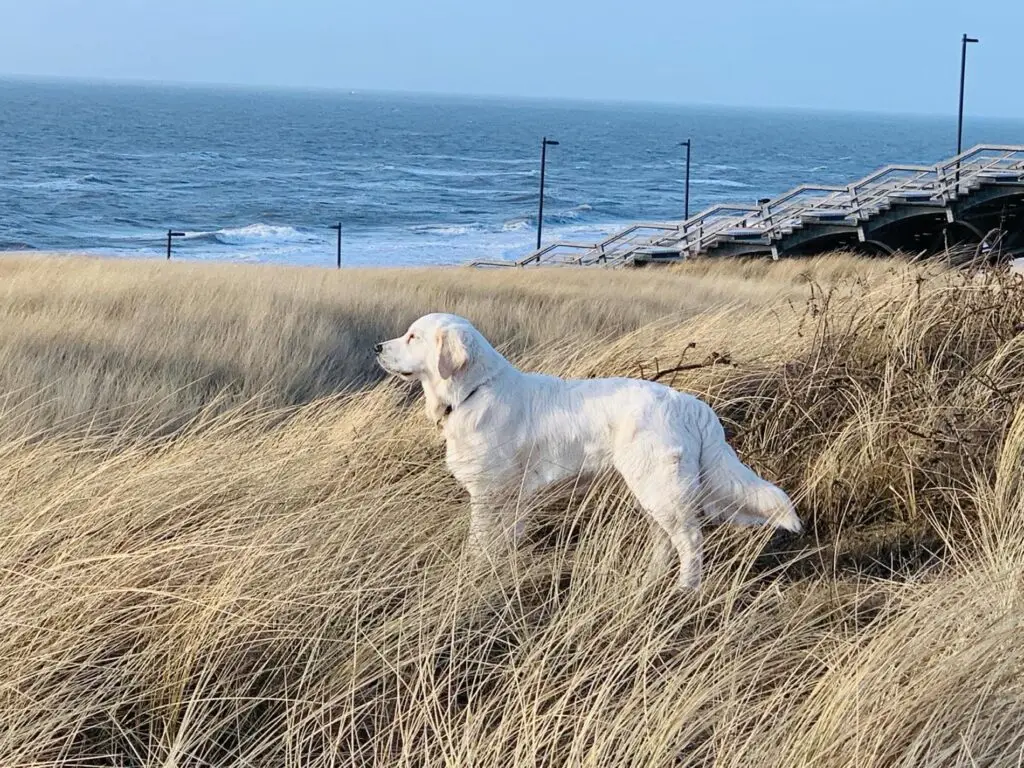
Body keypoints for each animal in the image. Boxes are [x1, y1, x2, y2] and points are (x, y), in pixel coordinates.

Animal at [374, 313, 798, 589]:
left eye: (412, 337)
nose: (378, 347)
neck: (475, 391)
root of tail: (690, 403)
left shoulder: (489, 493)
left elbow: (478, 545)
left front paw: (470, 575)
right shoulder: (514, 498)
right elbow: (505, 543)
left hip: (662, 489)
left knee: (691, 542)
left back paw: (686, 590)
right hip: (651, 489)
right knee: (665, 540)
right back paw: (648, 581)